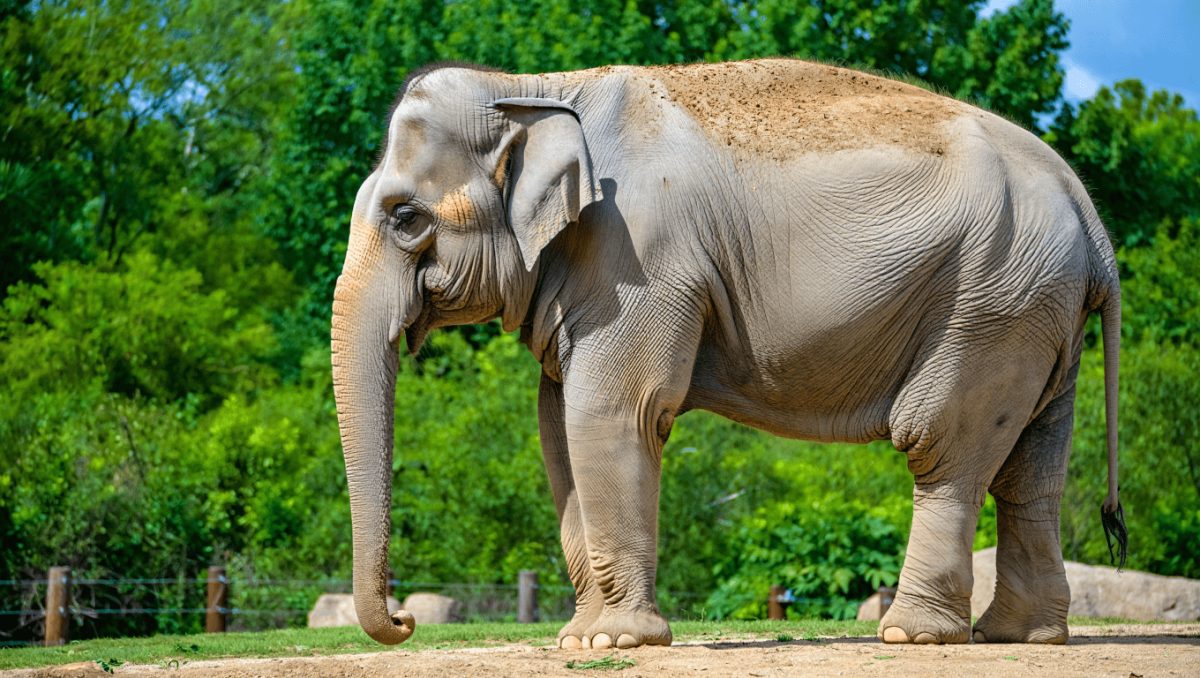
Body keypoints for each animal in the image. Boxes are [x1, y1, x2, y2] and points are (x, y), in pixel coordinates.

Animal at [331, 58, 1125, 650]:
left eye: (406, 218)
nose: (404, 617)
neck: (537, 86)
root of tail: (1092, 217)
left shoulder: (639, 257)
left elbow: (612, 412)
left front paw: (615, 641)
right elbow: (557, 428)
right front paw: (578, 639)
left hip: (990, 303)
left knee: (944, 447)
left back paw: (913, 636)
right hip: (1037, 313)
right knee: (1029, 470)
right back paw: (1018, 637)